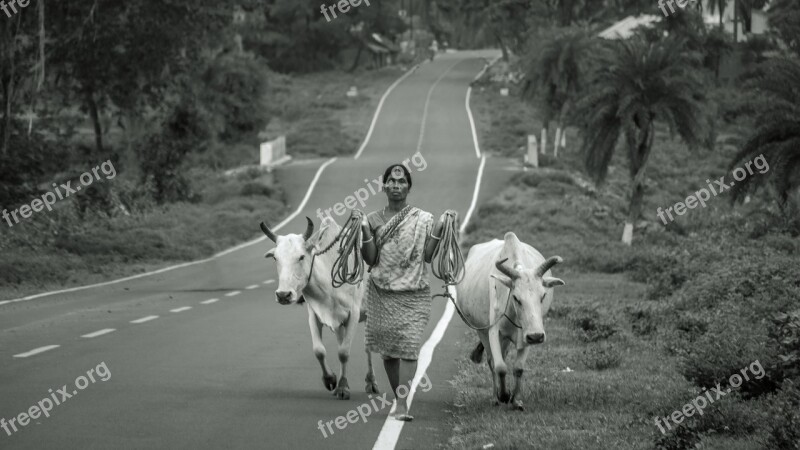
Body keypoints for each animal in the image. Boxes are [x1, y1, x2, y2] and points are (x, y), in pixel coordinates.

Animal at [260, 216, 378, 400]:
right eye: (275, 258)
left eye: (301, 257)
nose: (283, 295)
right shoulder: (314, 315)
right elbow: (319, 351)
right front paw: (331, 380)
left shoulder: (353, 314)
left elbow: (344, 352)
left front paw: (343, 387)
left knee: (367, 348)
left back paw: (371, 382)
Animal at [456, 234, 564, 410]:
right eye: (516, 297)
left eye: (543, 296)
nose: (537, 337)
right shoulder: (493, 331)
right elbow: (499, 367)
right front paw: (504, 395)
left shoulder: (527, 333)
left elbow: (518, 368)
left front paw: (515, 400)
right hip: (482, 331)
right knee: (492, 361)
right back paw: (495, 396)